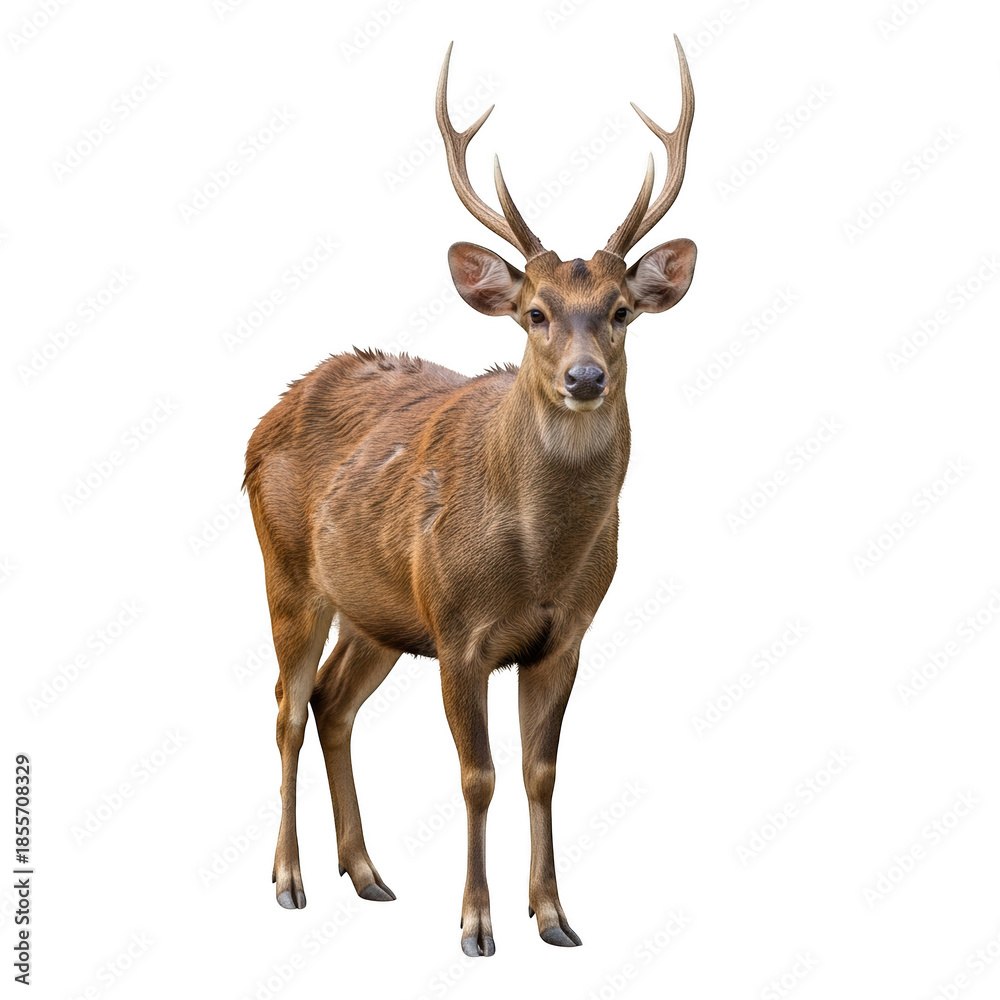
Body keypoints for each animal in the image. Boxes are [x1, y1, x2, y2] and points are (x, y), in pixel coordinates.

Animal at [243, 37, 696, 957]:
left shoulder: (566, 636)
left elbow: (541, 770)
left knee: (334, 704)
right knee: (287, 707)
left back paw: (368, 874)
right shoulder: (458, 630)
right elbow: (477, 774)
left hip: (377, 609)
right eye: (534, 312)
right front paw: (477, 924)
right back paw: (290, 880)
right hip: (287, 573)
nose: (584, 378)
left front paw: (554, 916)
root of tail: (267, 415)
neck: (539, 560)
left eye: (621, 310)